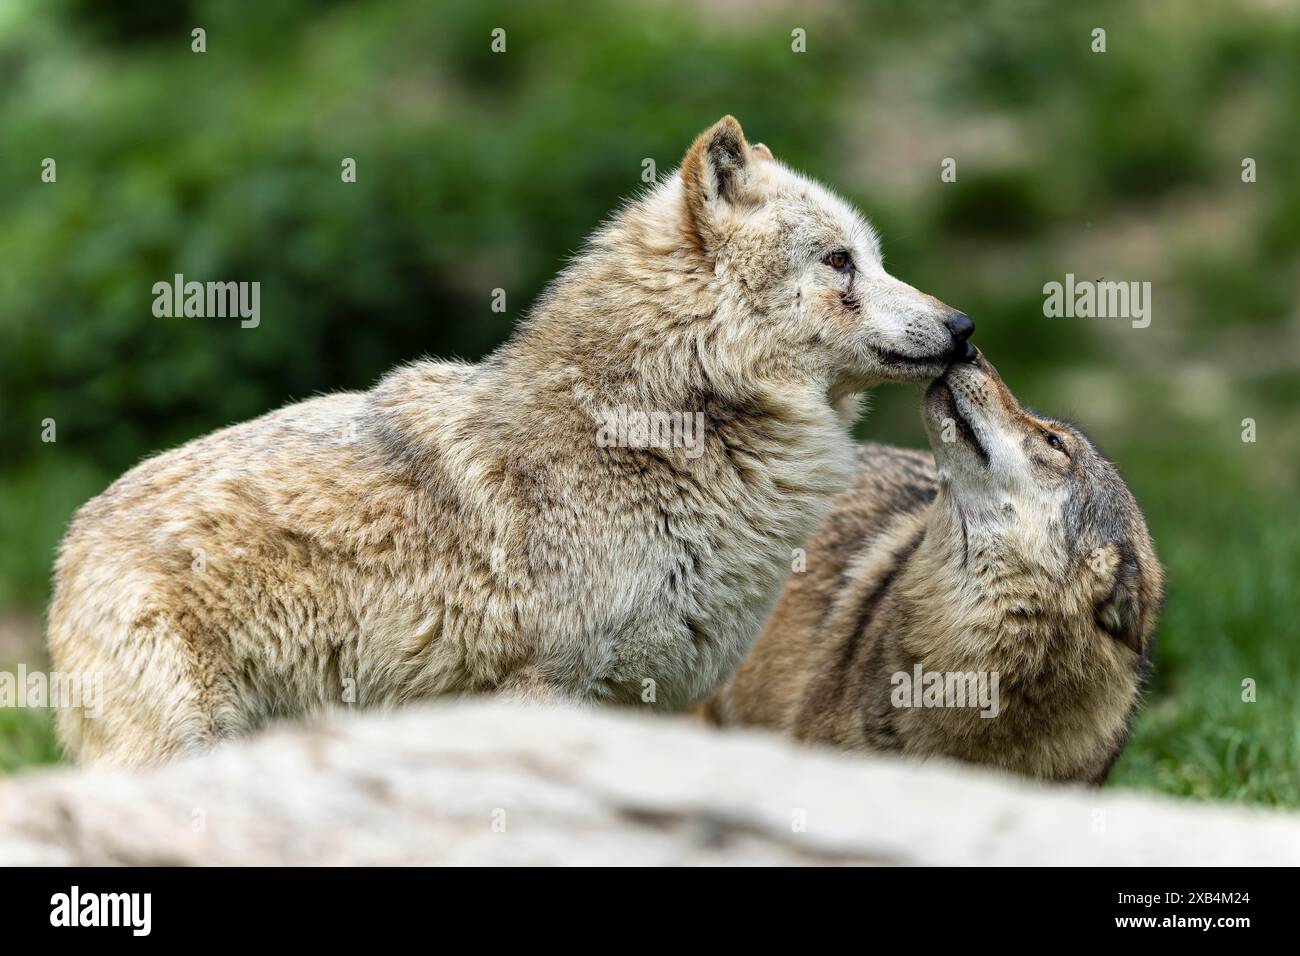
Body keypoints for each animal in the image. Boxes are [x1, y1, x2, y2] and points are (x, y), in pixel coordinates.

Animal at [48, 116, 973, 766]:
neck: (661, 432)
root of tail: (69, 542)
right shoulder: (541, 692)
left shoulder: (643, 708)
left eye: (873, 258)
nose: (963, 327)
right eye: (840, 262)